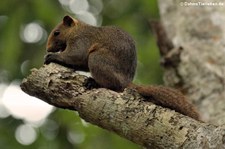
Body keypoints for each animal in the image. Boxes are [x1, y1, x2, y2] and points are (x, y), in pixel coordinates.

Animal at [44, 15, 200, 120]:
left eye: (57, 32)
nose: (48, 48)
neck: (77, 30)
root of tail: (126, 82)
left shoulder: (81, 40)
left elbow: (76, 56)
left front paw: (53, 57)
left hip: (98, 59)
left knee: (113, 85)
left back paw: (94, 82)